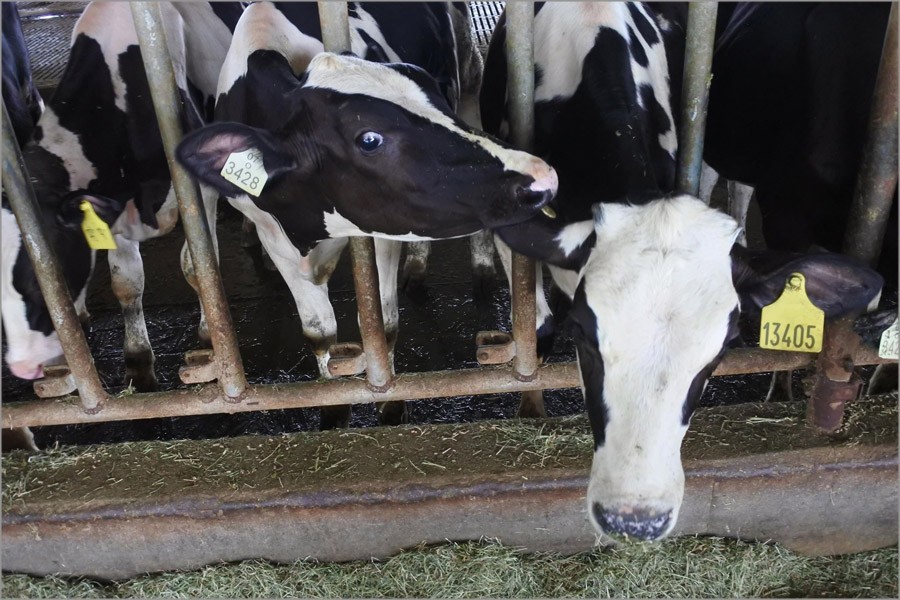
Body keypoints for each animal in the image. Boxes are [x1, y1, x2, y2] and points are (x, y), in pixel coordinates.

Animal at [0, 2, 236, 386]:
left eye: (40, 280)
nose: (21, 367)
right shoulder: (112, 208)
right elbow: (126, 282)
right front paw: (138, 360)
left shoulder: (200, 188)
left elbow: (200, 264)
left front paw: (210, 337)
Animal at [175, 2, 556, 428]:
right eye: (369, 139)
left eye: (430, 88)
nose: (541, 175)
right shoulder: (272, 233)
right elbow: (319, 333)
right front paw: (332, 411)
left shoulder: (381, 232)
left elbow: (380, 324)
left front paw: (390, 405)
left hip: (471, 86)